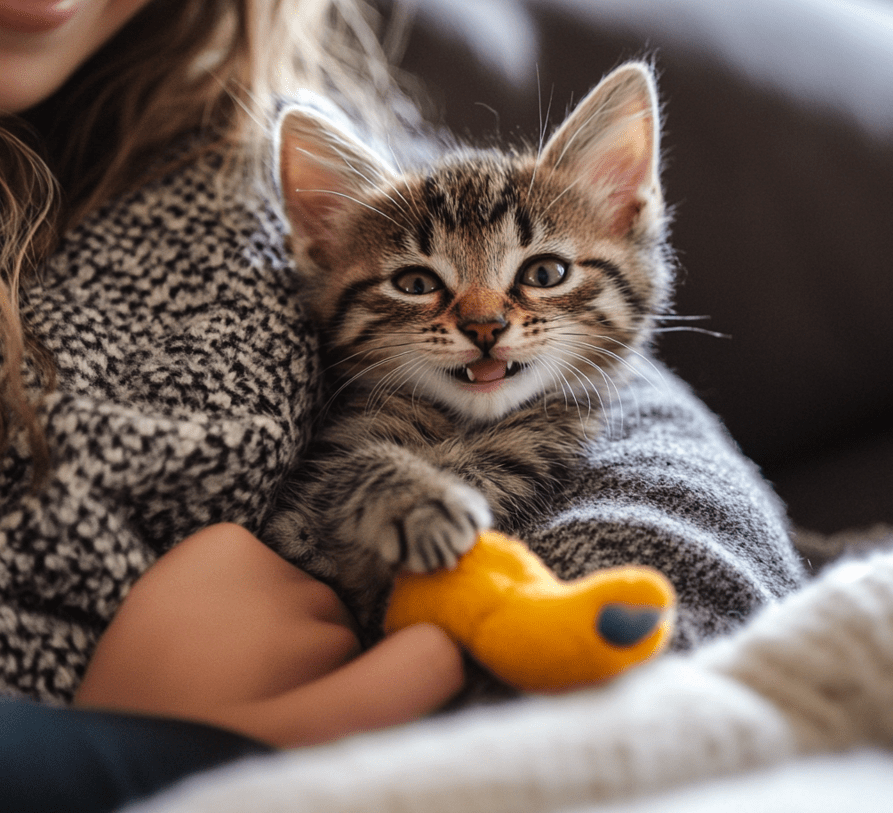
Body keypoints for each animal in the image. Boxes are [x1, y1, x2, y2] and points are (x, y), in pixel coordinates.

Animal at [268, 63, 672, 620]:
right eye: (416, 284)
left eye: (545, 273)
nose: (485, 327)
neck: (463, 431)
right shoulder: (292, 524)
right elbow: (349, 468)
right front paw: (417, 499)